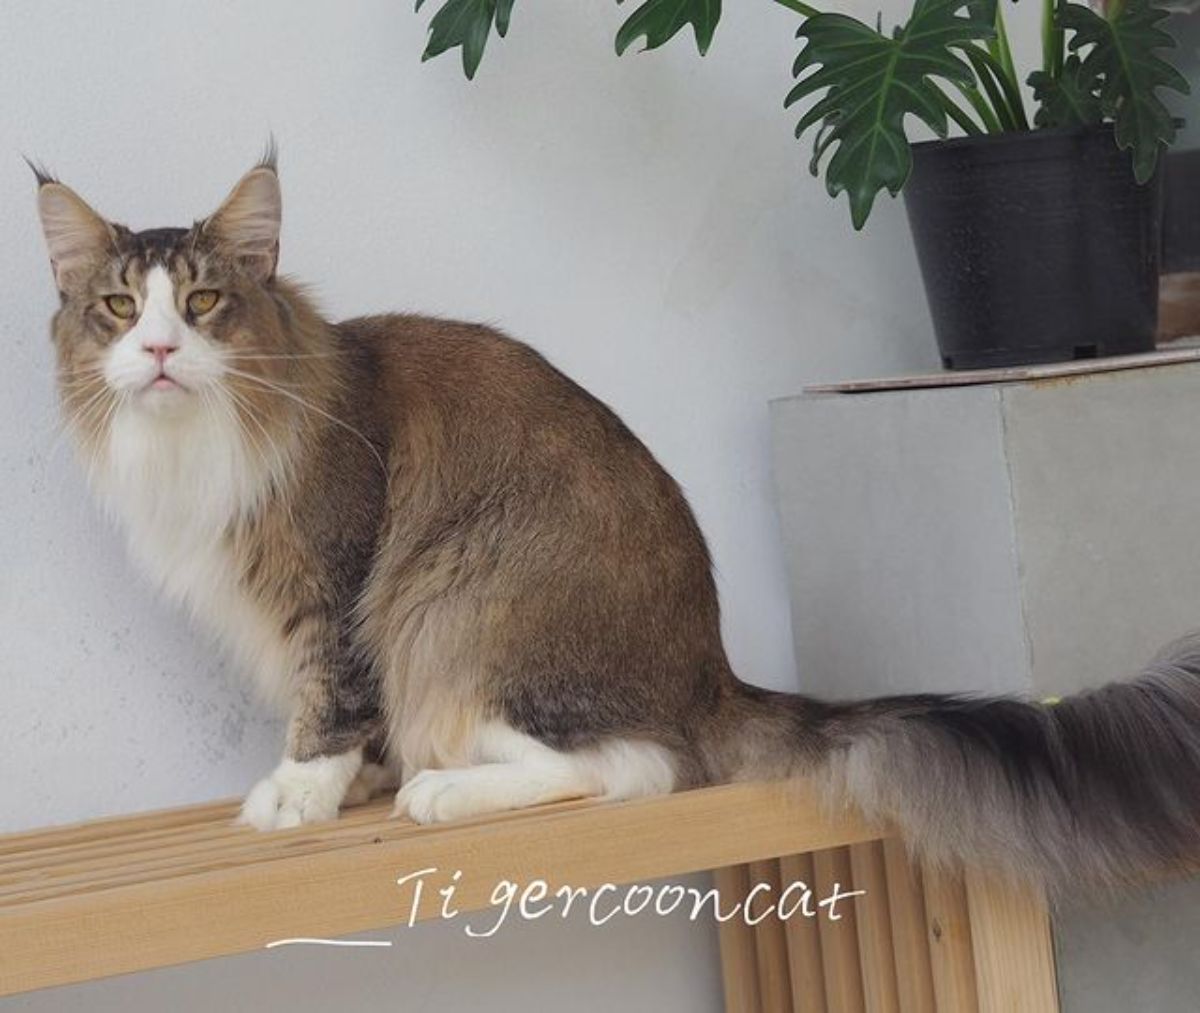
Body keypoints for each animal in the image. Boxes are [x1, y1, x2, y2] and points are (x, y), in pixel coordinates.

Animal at [30, 154, 1200, 888]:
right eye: (120, 310)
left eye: (204, 304)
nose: (161, 351)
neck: (193, 445)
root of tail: (712, 671)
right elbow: (344, 713)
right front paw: (350, 779)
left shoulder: (337, 580)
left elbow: (330, 698)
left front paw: (301, 793)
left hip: (460, 616)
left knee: (636, 766)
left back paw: (441, 792)